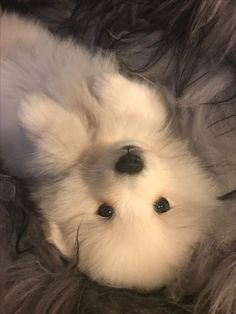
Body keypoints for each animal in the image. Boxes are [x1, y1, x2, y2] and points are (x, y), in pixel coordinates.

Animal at [0, 14, 219, 290]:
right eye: (163, 205)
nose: (131, 163)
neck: (97, 146)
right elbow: (147, 108)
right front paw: (105, 85)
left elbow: (62, 145)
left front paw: (36, 108)